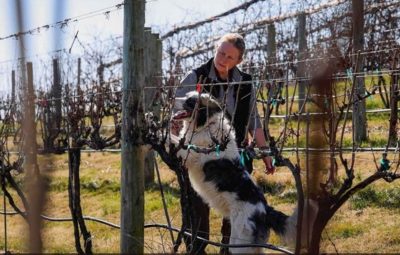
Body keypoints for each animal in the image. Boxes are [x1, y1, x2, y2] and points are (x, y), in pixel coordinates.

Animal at [170, 91, 298, 253]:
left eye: (190, 102)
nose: (172, 98)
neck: (206, 126)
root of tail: (265, 210)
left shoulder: (191, 154)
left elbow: (171, 138)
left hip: (238, 242)